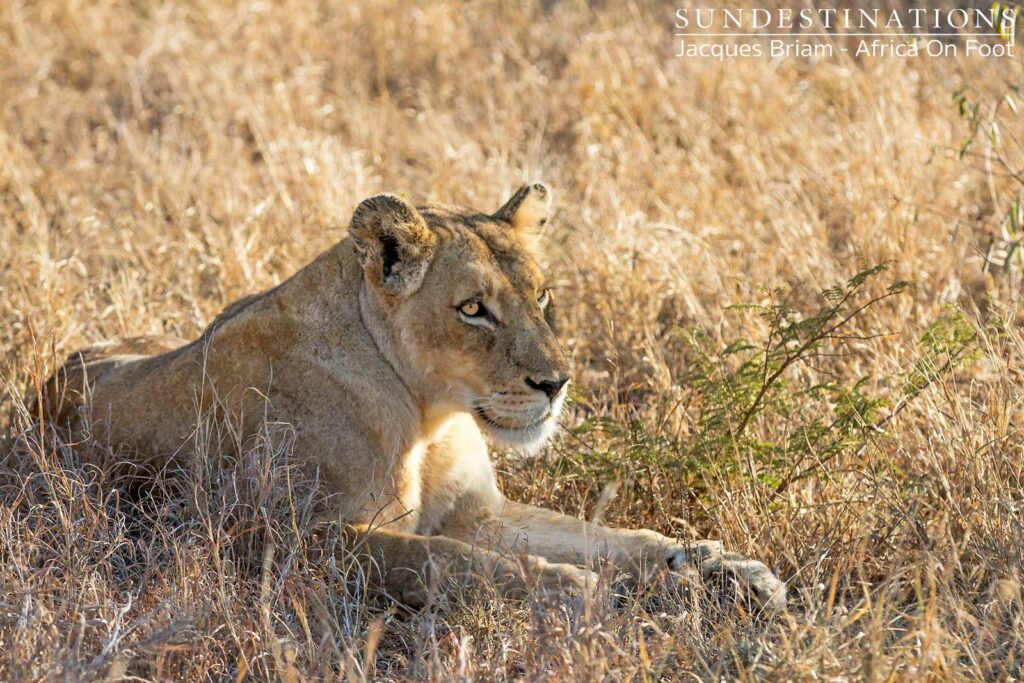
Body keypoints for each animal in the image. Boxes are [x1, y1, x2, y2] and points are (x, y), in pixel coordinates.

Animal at [37, 184, 786, 610]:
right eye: (474, 309)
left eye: (544, 297)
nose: (555, 383)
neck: (430, 415)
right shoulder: (289, 539)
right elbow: (446, 561)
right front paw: (577, 591)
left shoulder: (479, 511)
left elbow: (605, 536)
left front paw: (715, 568)